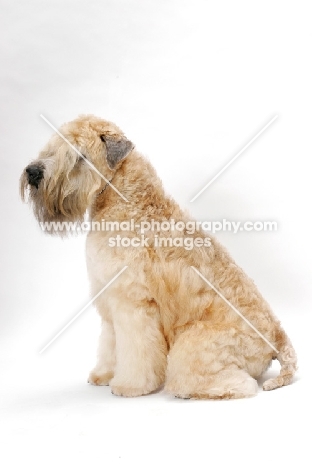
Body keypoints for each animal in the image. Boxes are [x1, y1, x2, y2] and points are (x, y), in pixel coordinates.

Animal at [20, 113, 298, 398]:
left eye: (79, 155)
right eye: (54, 145)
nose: (33, 172)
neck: (125, 202)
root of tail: (278, 338)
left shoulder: (133, 303)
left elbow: (135, 350)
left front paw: (129, 385)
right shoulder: (110, 297)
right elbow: (111, 343)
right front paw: (105, 374)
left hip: (195, 344)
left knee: (237, 382)